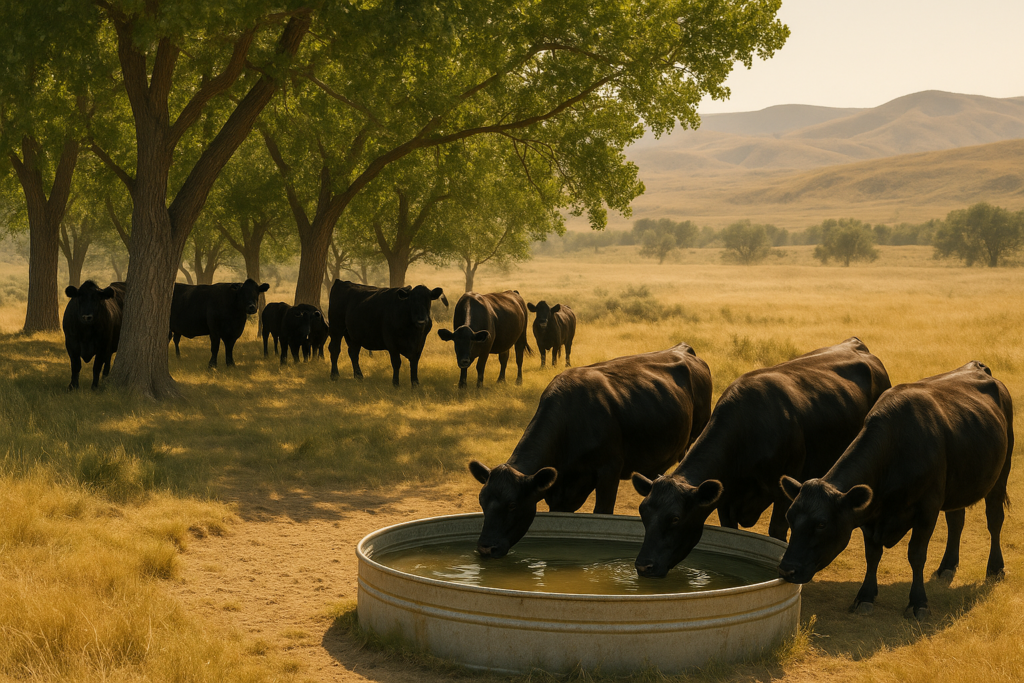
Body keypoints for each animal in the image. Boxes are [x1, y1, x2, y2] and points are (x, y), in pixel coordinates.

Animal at [468, 342, 713, 558]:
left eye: (512, 505)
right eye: (481, 501)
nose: (485, 549)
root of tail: (682, 348)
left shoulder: (609, 470)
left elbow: (602, 512)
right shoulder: (559, 492)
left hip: (696, 434)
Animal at [632, 337, 891, 579]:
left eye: (675, 518)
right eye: (643, 512)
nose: (644, 566)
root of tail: (855, 343)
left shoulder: (784, 492)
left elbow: (778, 533)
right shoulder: (726, 497)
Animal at [777, 362, 1013, 620]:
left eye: (821, 523)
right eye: (789, 517)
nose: (787, 570)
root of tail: (977, 366)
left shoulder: (927, 508)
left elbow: (916, 555)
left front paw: (918, 603)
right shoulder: (871, 514)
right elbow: (872, 554)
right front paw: (865, 596)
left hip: (1001, 473)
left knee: (994, 520)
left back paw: (995, 568)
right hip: (958, 484)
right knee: (956, 521)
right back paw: (947, 566)